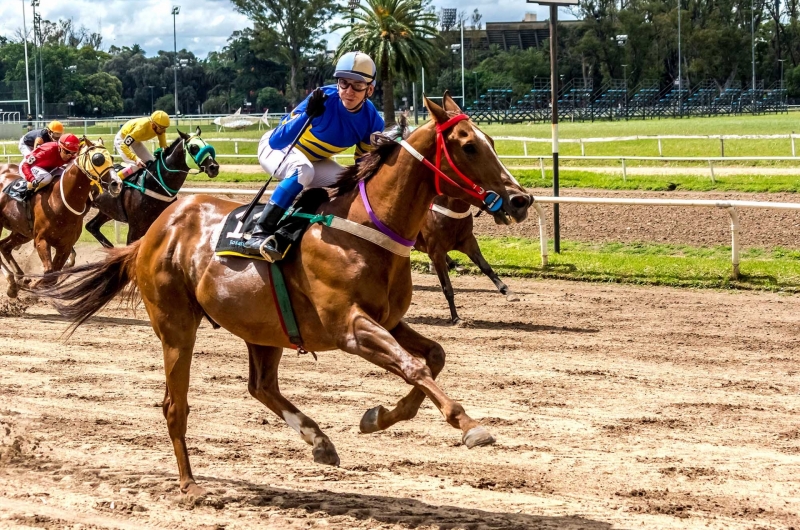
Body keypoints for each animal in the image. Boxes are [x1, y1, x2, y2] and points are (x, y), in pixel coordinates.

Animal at [0, 138, 122, 296]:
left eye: (112, 158)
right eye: (98, 159)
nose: (116, 184)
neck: (59, 201)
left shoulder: (65, 245)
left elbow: (53, 276)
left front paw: (35, 285)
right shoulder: (41, 240)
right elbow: (49, 271)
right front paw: (35, 286)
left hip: (22, 232)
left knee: (4, 246)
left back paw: (19, 279)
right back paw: (12, 282)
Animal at [85, 128, 219, 245]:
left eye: (207, 144)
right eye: (194, 147)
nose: (214, 167)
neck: (155, 184)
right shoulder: (135, 229)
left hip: (106, 211)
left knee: (91, 226)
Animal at [416, 194, 520, 322]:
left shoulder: (468, 241)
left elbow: (485, 267)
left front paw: (508, 292)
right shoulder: (436, 251)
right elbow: (447, 286)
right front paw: (455, 317)